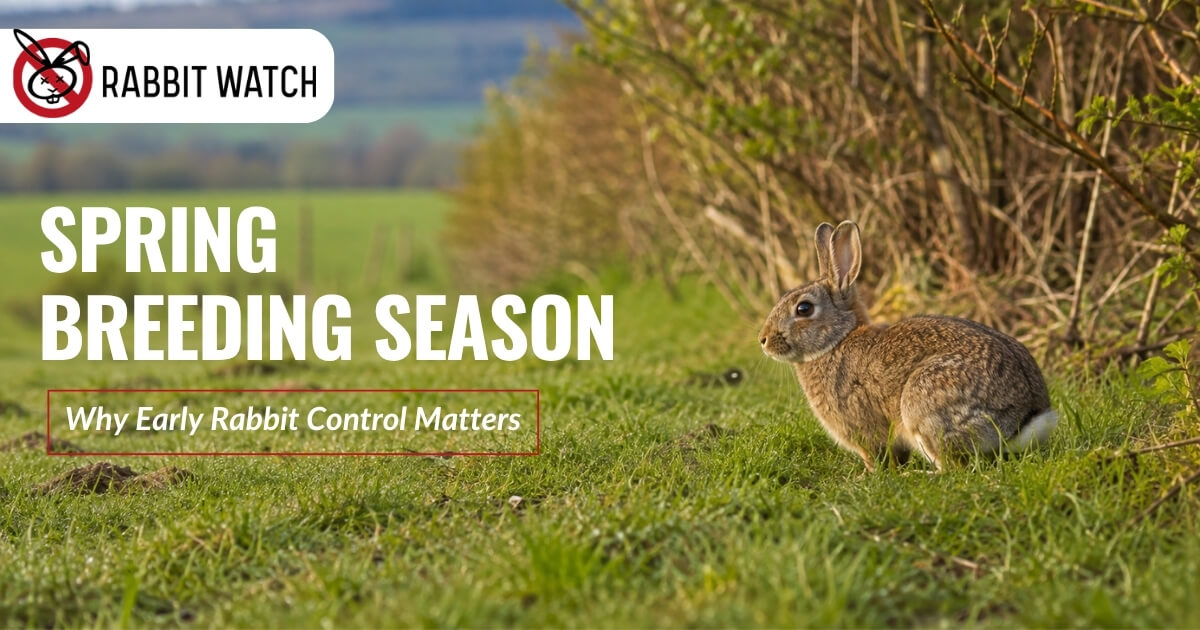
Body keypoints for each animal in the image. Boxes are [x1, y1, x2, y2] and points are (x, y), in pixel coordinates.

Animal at [758, 220, 1057, 472]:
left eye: (804, 309)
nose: (763, 340)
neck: (837, 339)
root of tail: (1024, 420)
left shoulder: (865, 428)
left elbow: (877, 455)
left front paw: (869, 475)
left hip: (923, 404)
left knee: (954, 467)